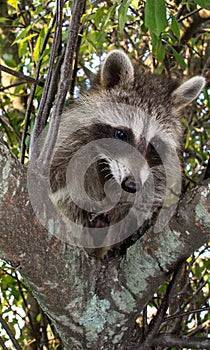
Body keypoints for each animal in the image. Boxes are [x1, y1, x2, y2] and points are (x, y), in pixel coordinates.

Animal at [49, 50, 205, 258]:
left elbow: (152, 192)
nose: (132, 185)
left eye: (154, 145)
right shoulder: (73, 138)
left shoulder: (159, 170)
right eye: (121, 135)